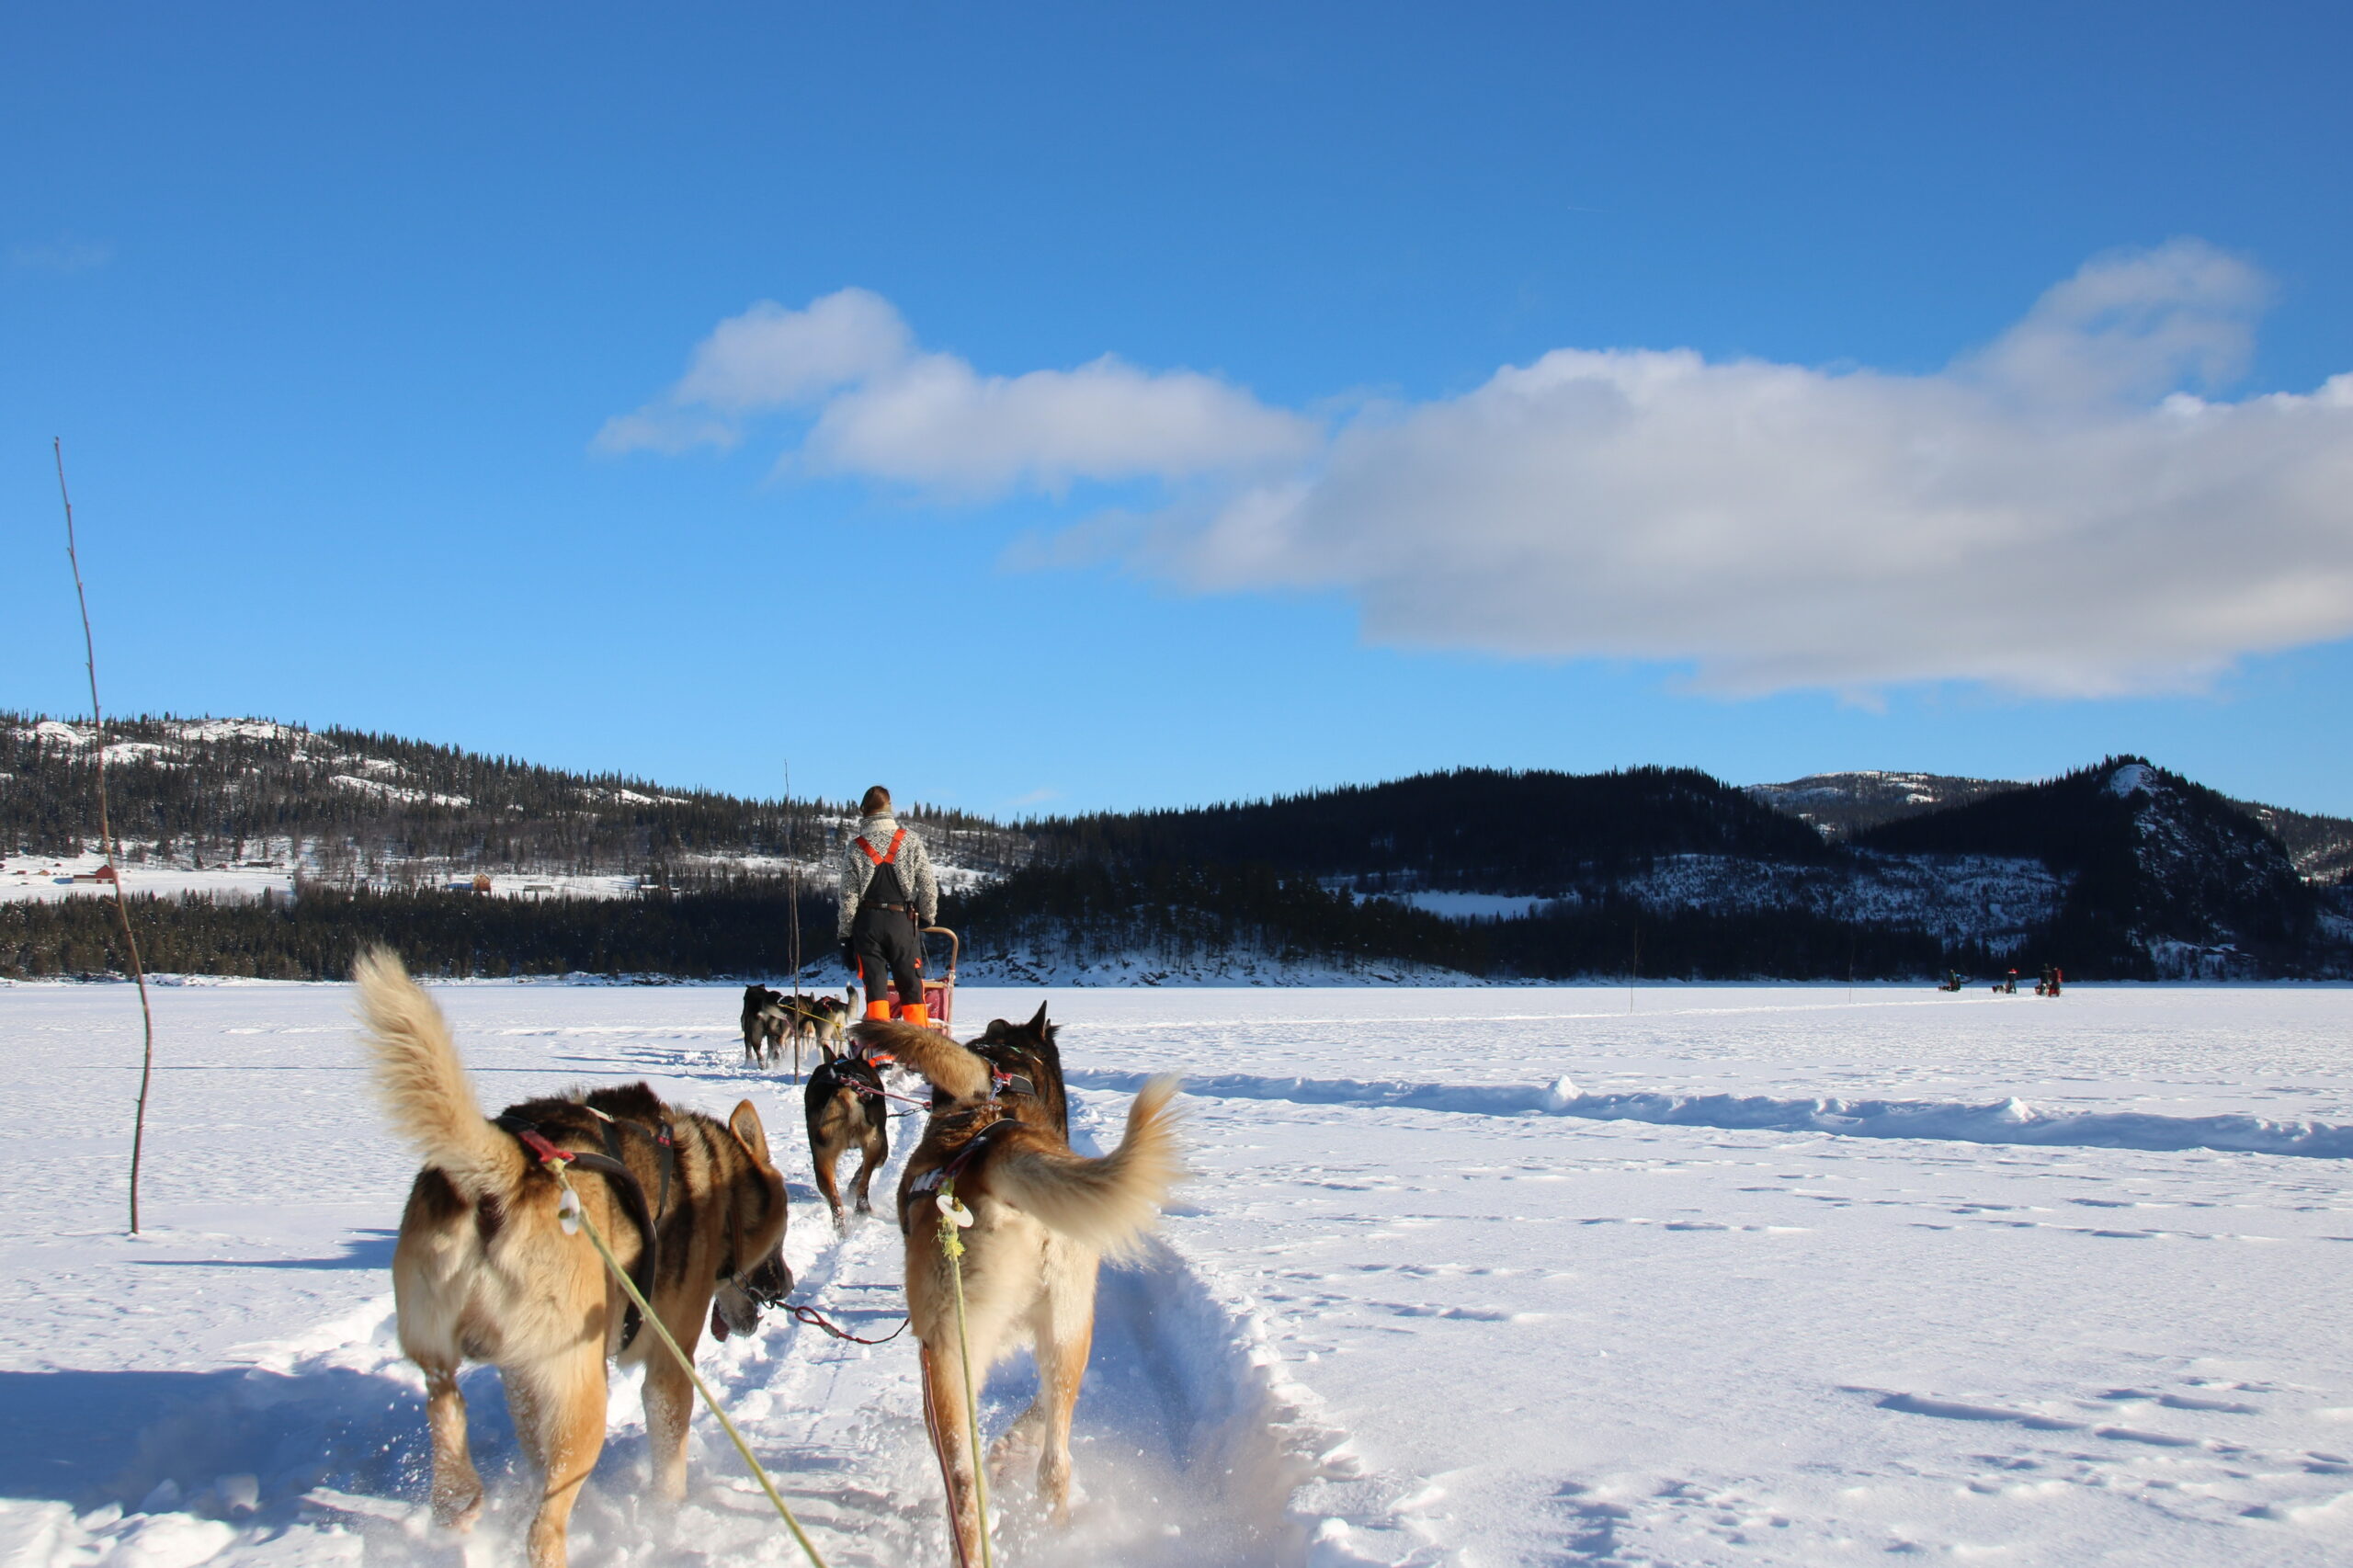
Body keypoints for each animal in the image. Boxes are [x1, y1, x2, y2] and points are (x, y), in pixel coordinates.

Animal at [355, 946, 800, 1562]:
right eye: (779, 1241)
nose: (786, 1288)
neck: (719, 1185)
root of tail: (506, 1175)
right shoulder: (670, 1363)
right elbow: (669, 1456)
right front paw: (667, 1518)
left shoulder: (523, 1377)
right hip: (583, 1395)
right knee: (543, 1529)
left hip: (454, 1355)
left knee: (447, 1410)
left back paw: (461, 1502)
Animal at [847, 1003, 1176, 1553]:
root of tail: (1003, 1148)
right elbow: (1038, 1413)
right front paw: (1014, 1445)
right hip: (1070, 1331)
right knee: (1055, 1465)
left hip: (945, 1358)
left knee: (963, 1485)